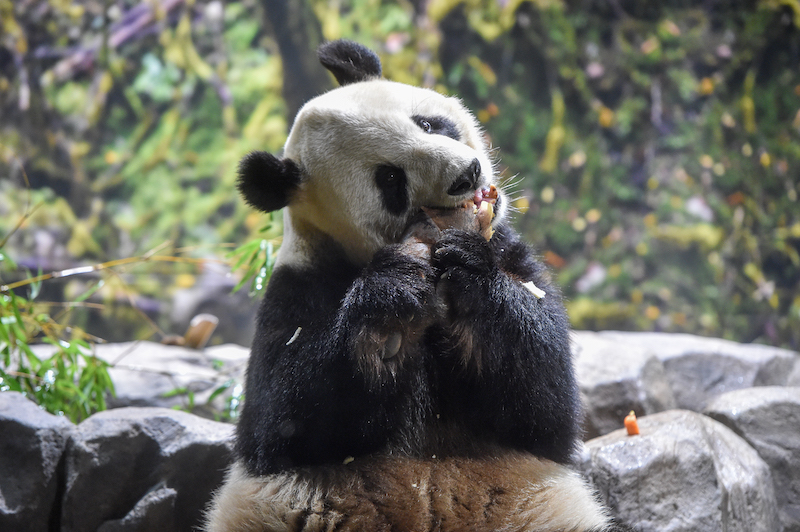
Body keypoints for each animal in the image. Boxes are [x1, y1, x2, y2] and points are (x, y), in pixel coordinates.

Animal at [205, 39, 612, 528]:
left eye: (426, 123)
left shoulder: (512, 254)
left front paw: (470, 274)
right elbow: (281, 422)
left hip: (541, 507)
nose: (467, 173)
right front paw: (391, 304)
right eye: (390, 179)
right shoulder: (296, 288)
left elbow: (543, 405)